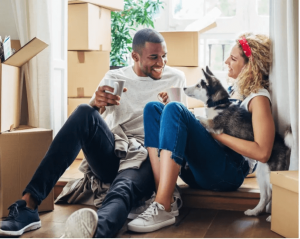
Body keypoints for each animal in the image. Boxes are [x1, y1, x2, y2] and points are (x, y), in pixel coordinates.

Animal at [184, 66, 292, 221]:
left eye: (199, 85)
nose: (184, 87)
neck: (218, 104)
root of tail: (285, 145)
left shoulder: (215, 125)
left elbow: (197, 117)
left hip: (272, 174)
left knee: (274, 193)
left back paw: (273, 218)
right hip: (262, 173)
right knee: (266, 195)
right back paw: (254, 212)